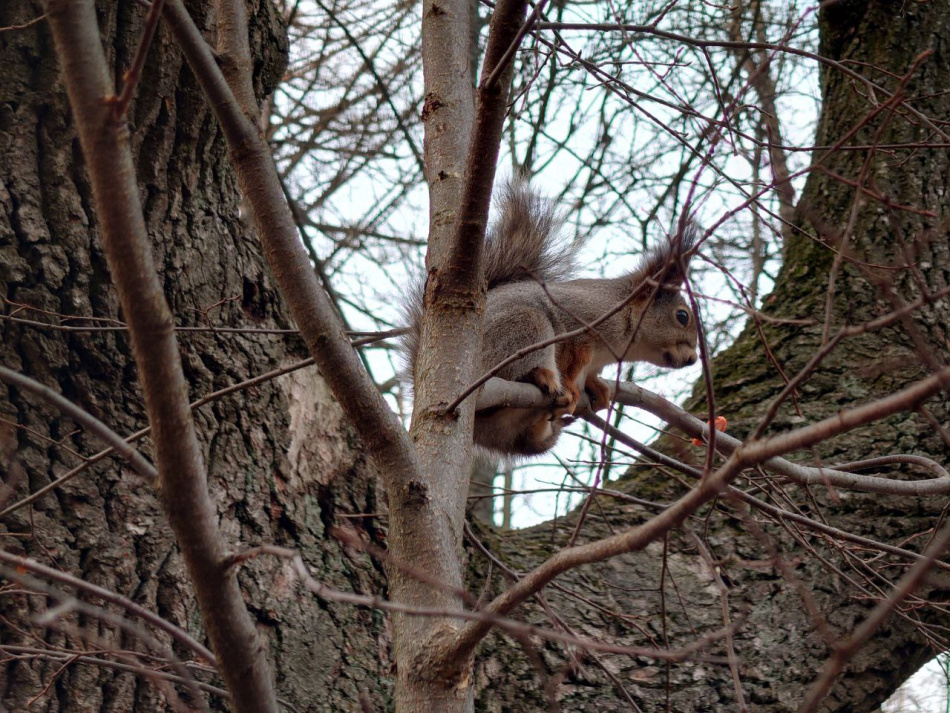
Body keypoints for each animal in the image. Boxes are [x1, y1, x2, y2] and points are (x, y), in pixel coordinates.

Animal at [402, 179, 700, 456]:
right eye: (682, 316)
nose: (693, 360)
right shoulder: (579, 323)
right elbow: (569, 362)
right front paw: (571, 386)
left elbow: (590, 374)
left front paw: (598, 388)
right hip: (523, 329)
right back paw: (541, 377)